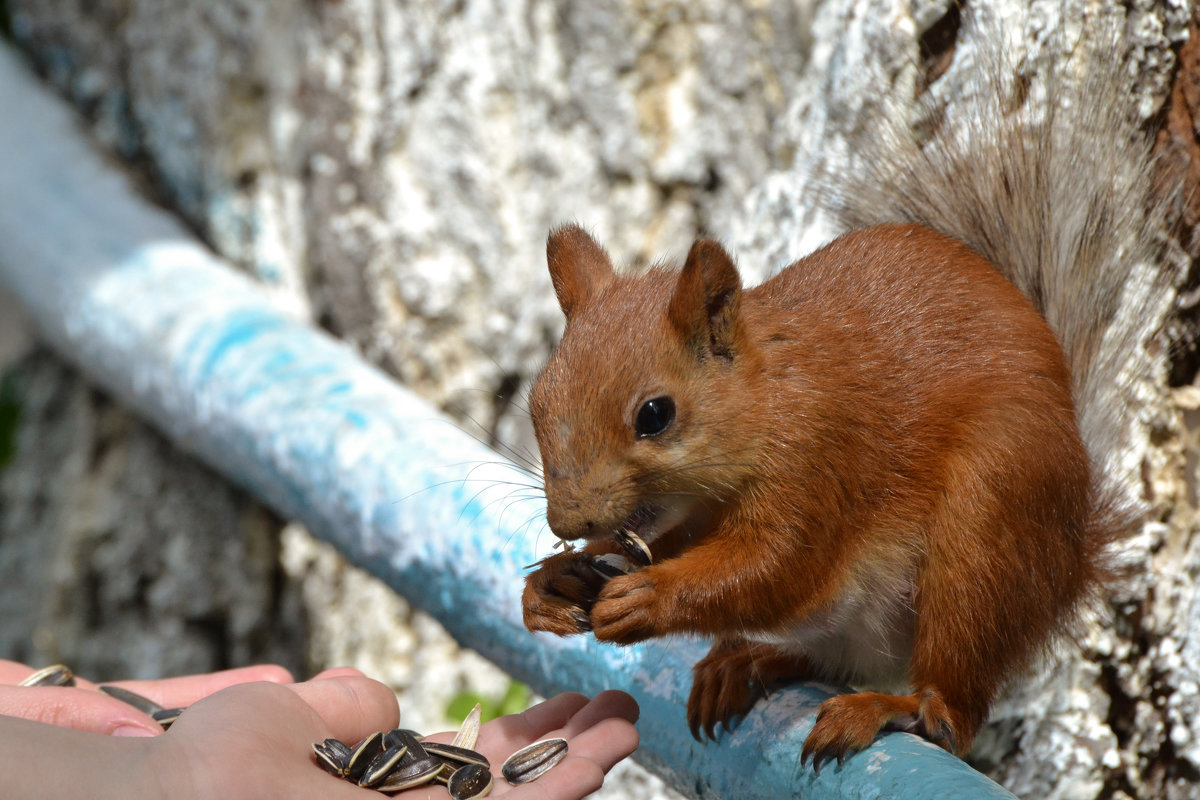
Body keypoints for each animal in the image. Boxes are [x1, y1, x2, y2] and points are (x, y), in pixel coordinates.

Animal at [520, 23, 1166, 767]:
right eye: (538, 400)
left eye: (655, 414)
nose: (566, 521)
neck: (767, 397)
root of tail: (1073, 559)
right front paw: (553, 582)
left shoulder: (820, 459)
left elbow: (772, 568)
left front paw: (647, 596)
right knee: (837, 659)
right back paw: (747, 661)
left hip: (987, 527)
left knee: (951, 709)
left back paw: (887, 708)